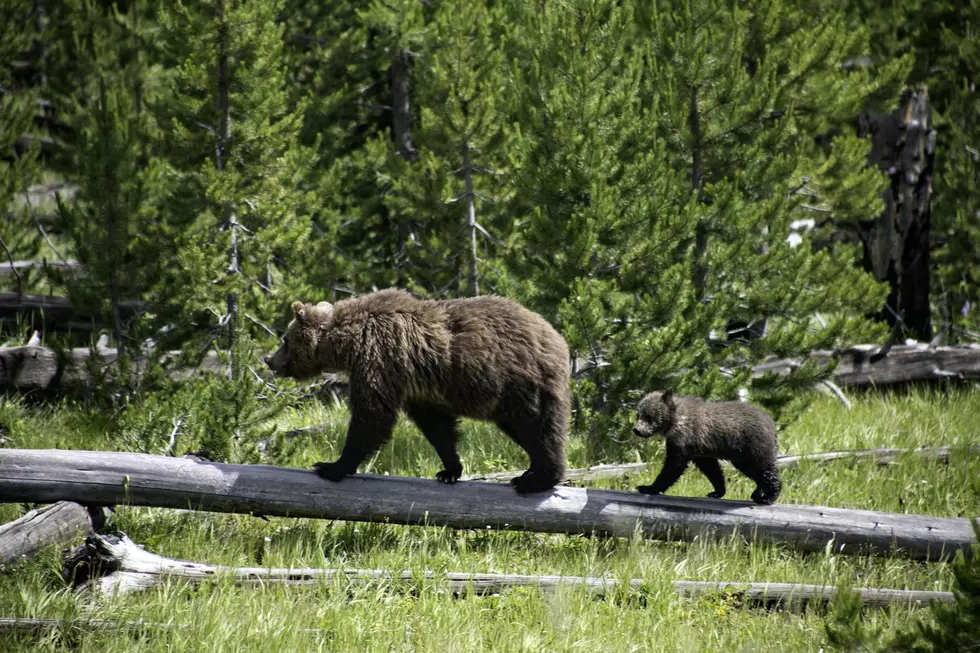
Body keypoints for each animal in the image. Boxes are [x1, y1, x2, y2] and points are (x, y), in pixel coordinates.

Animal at [264, 288, 572, 492]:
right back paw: (530, 472)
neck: (348, 343)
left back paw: (537, 479)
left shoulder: (379, 358)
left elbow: (372, 417)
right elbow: (436, 426)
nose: (269, 360)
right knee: (521, 428)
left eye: (285, 338)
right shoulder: (417, 388)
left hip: (522, 381)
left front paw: (331, 466)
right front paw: (450, 469)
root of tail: (558, 338)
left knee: (537, 426)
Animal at [636, 388, 780, 504]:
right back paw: (757, 493)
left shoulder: (684, 439)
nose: (637, 430)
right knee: (753, 470)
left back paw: (769, 496)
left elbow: (673, 466)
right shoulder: (700, 449)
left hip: (753, 446)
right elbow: (711, 468)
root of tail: (772, 424)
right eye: (638, 415)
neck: (674, 422)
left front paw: (647, 487)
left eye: (649, 416)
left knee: (764, 468)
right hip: (741, 455)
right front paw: (717, 491)